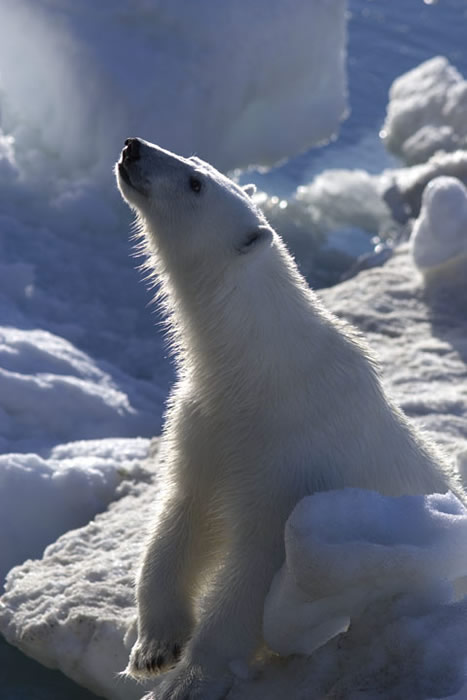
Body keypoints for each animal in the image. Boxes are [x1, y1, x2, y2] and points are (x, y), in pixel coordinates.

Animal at [115, 138, 463, 700]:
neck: (260, 369)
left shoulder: (291, 456)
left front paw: (188, 679)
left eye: (195, 182)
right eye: (198, 163)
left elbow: (255, 567)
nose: (134, 147)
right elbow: (183, 514)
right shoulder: (207, 418)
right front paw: (154, 649)